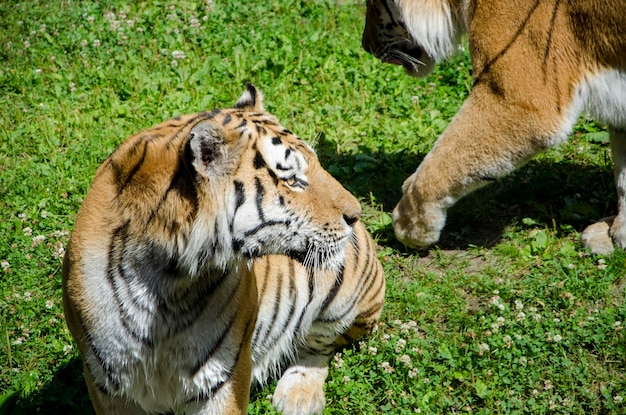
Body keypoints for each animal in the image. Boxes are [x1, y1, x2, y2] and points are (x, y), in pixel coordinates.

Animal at [63, 84, 386, 415]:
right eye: (293, 180)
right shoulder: (109, 384)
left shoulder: (221, 377)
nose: (356, 214)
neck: (166, 284)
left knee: (319, 345)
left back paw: (298, 396)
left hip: (346, 304)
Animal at [358, 0, 624, 254]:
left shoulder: (517, 100)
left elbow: (443, 160)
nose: (365, 46)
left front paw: (409, 222)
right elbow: (622, 174)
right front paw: (617, 235)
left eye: (372, 3)